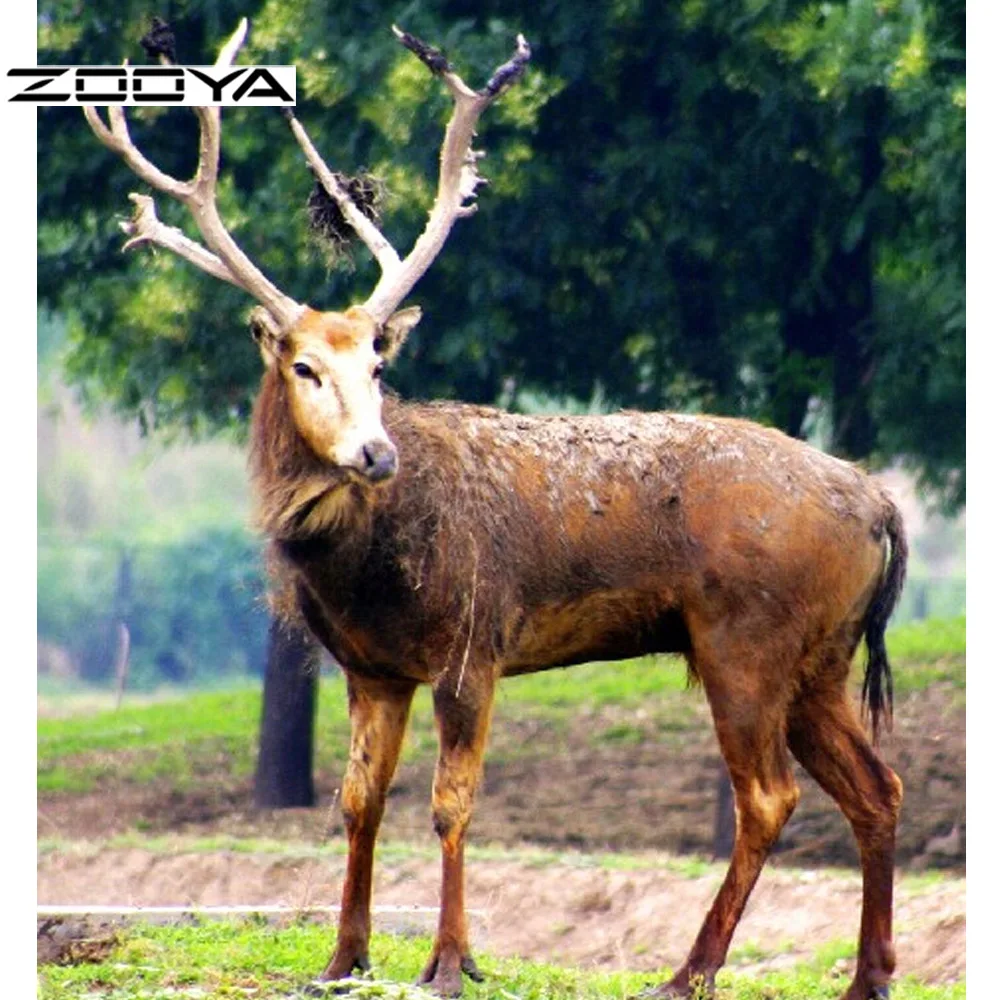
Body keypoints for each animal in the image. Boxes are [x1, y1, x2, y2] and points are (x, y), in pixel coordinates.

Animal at [81, 17, 907, 1000]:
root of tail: (881, 504)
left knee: (770, 795)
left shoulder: (472, 644)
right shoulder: (370, 667)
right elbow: (357, 803)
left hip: (747, 638)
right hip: (822, 657)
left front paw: (450, 959)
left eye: (379, 364)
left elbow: (450, 804)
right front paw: (343, 955)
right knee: (878, 787)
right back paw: (868, 975)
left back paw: (690, 970)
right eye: (305, 366)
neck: (363, 573)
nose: (376, 454)